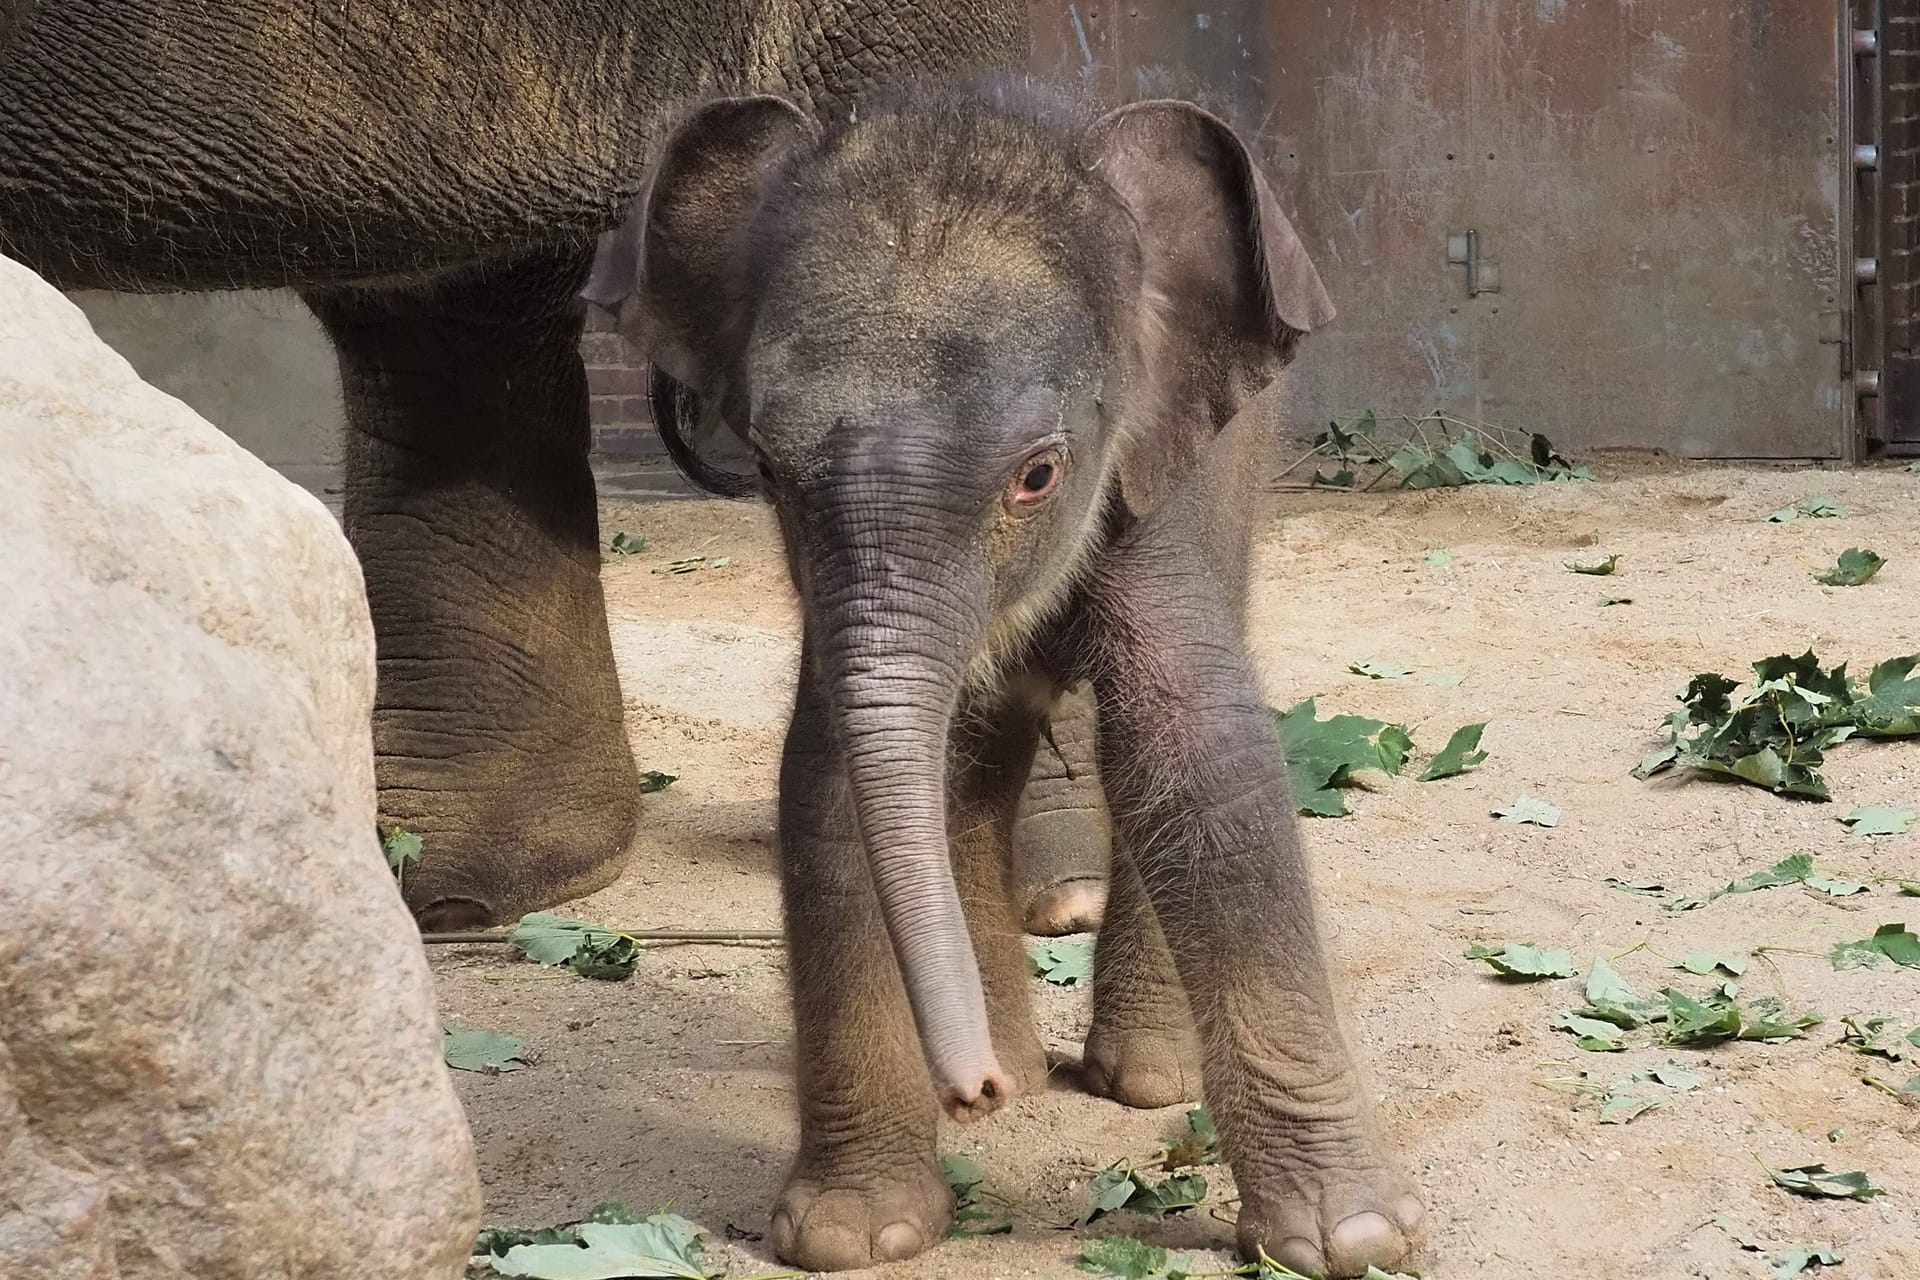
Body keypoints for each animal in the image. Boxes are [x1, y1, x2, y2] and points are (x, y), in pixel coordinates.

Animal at [583, 75, 1428, 1274]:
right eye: (768, 470)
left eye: (1039, 474)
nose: (970, 1090)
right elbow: (832, 773)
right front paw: (854, 1232)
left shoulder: (1152, 466)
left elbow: (1194, 740)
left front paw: (1351, 1239)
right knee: (979, 756)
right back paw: (1032, 1067)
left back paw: (1143, 1078)